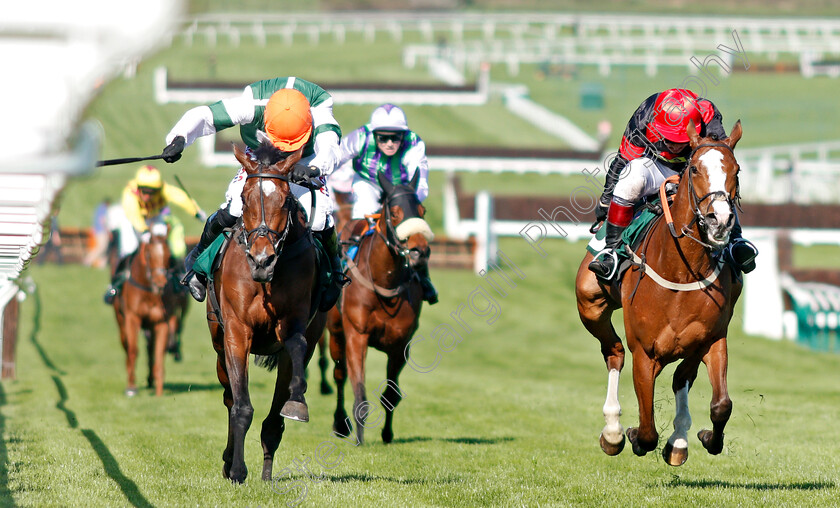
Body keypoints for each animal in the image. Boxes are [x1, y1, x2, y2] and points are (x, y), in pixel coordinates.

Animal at [208, 141, 326, 482]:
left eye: (285, 201)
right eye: (245, 199)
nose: (262, 260)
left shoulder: (295, 324)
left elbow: (296, 347)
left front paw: (297, 401)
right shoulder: (236, 331)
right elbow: (241, 406)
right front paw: (236, 469)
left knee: (274, 418)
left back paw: (267, 470)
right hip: (218, 341)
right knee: (229, 397)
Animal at [328, 171, 434, 444]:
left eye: (422, 210)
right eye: (395, 212)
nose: (419, 251)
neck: (384, 282)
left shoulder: (401, 344)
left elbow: (391, 395)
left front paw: (387, 434)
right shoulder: (357, 336)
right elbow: (359, 393)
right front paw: (359, 439)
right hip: (335, 331)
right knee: (339, 374)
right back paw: (340, 424)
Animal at [576, 121, 744, 466]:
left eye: (736, 171)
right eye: (695, 169)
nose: (720, 221)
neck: (681, 271)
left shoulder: (711, 340)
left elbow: (721, 404)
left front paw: (704, 437)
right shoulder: (645, 352)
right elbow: (647, 429)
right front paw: (630, 435)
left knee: (680, 377)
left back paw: (678, 440)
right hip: (590, 305)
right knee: (614, 353)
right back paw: (612, 432)